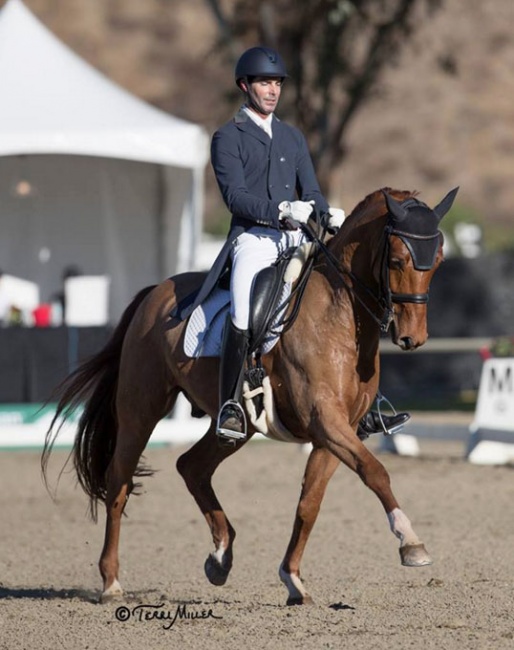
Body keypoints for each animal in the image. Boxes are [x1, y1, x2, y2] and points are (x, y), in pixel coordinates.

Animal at [42, 186, 454, 604]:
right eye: (399, 259)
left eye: (437, 261)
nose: (412, 338)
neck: (338, 316)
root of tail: (153, 294)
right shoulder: (326, 421)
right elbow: (376, 471)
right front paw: (411, 542)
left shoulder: (339, 430)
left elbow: (310, 503)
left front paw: (292, 578)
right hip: (140, 410)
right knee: (119, 484)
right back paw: (111, 582)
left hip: (238, 427)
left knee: (192, 466)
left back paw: (220, 557)